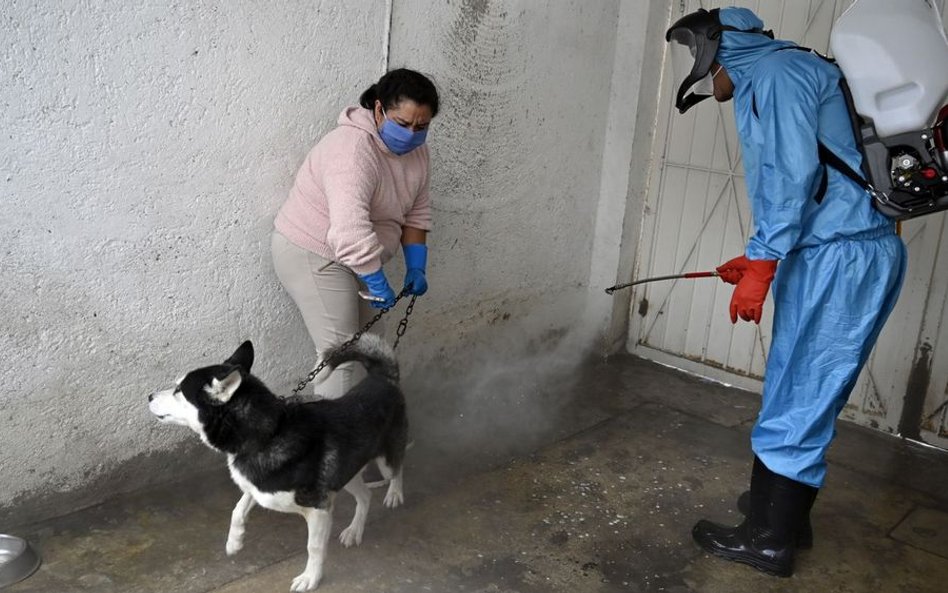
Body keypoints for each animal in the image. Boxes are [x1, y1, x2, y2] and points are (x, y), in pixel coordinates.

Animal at [148, 336, 408, 588]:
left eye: (179, 390)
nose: (149, 396)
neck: (267, 435)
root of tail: (382, 378)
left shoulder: (319, 508)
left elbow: (314, 547)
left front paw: (310, 577)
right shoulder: (259, 485)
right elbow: (238, 509)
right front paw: (234, 540)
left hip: (384, 461)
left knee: (397, 470)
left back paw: (394, 494)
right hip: (345, 472)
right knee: (365, 495)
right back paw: (355, 530)